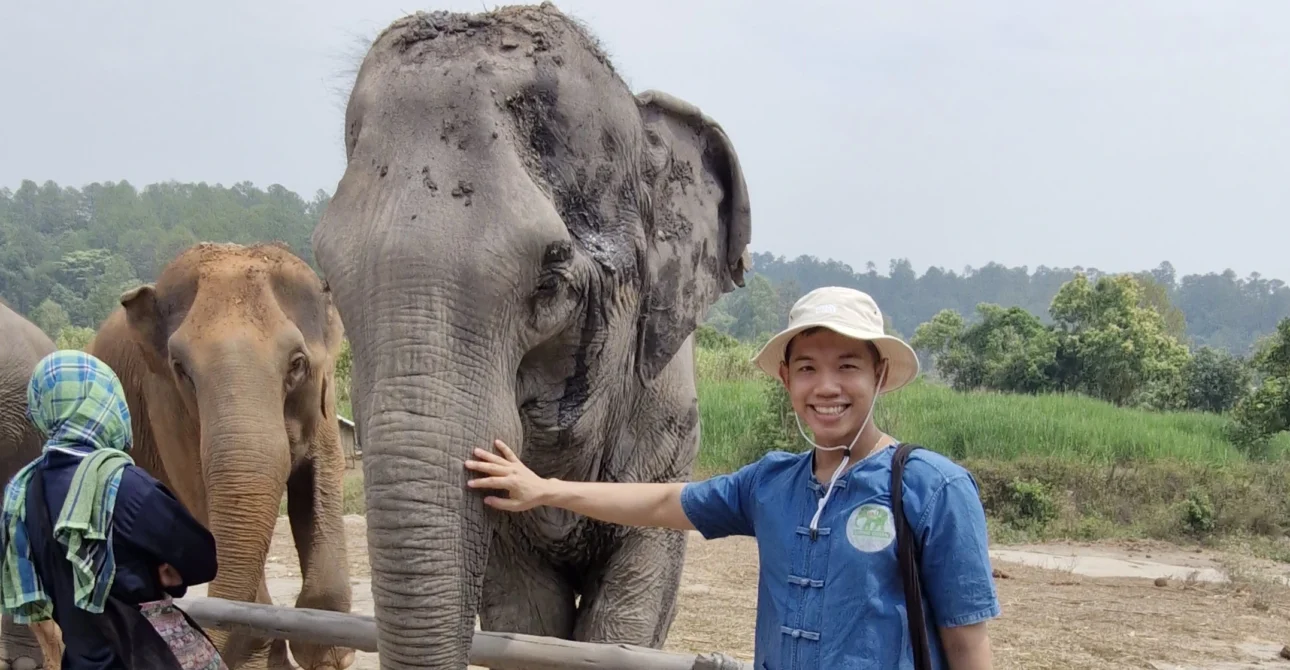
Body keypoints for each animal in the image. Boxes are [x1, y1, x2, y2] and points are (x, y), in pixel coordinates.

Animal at [81, 241, 356, 670]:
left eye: (297, 364)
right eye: (180, 368)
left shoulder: (324, 403)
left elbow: (320, 479)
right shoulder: (165, 406)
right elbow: (202, 494)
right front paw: (257, 655)